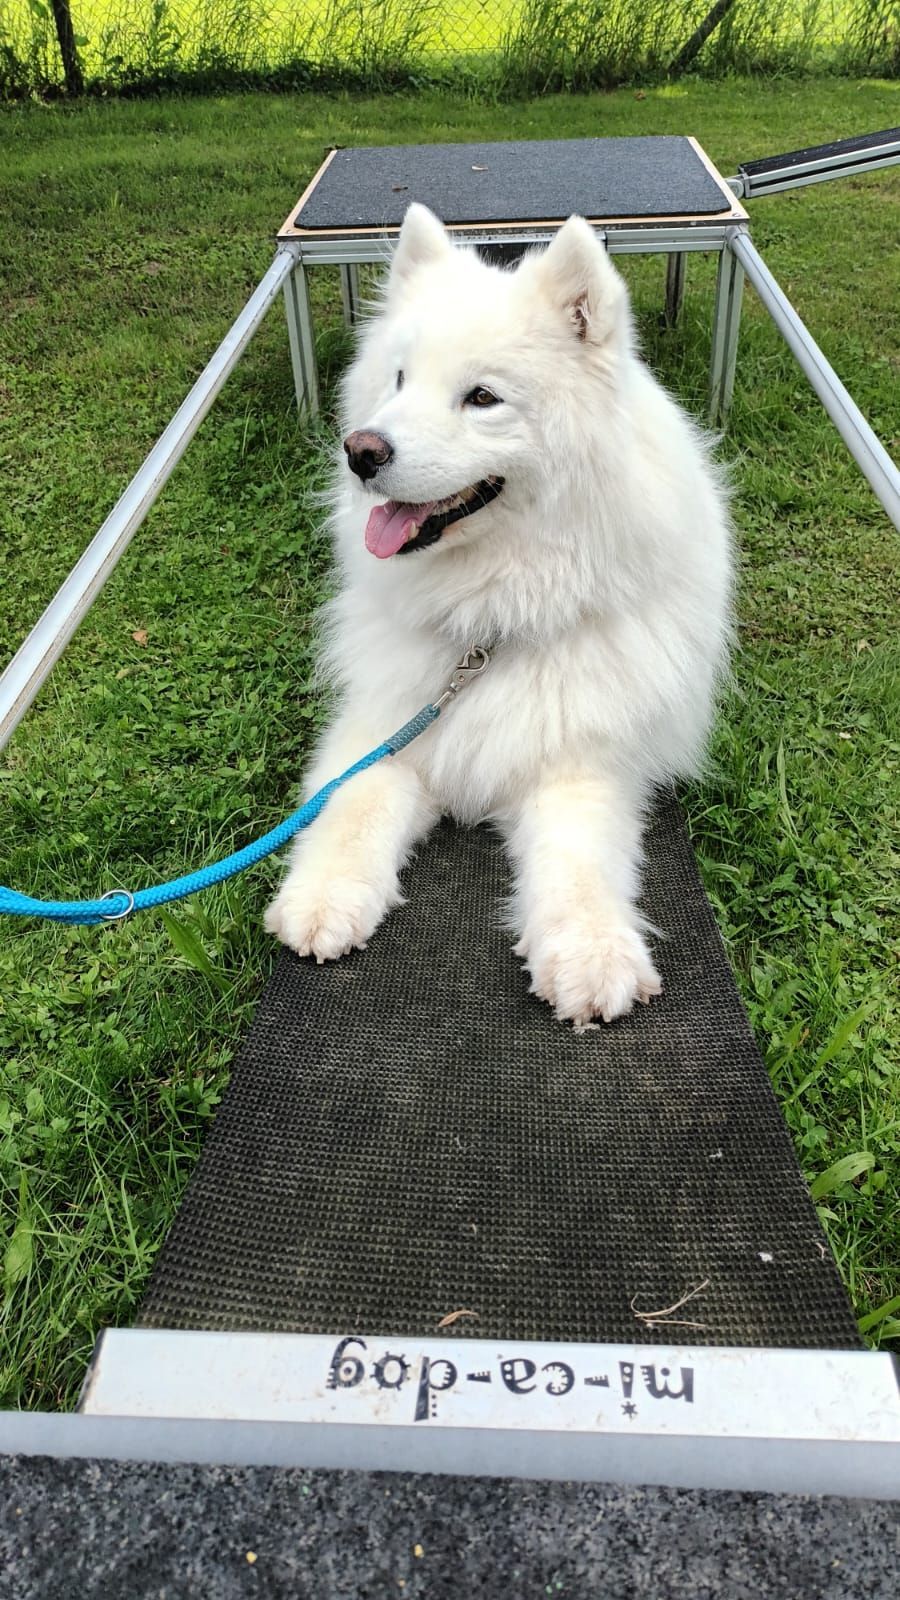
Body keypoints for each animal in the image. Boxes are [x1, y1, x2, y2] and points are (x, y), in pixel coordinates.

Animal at [265, 204, 732, 1026]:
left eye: (482, 397)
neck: (489, 622)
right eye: (398, 379)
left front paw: (591, 954)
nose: (360, 451)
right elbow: (350, 806)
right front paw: (321, 898)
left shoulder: (582, 758)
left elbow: (581, 857)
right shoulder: (386, 726)